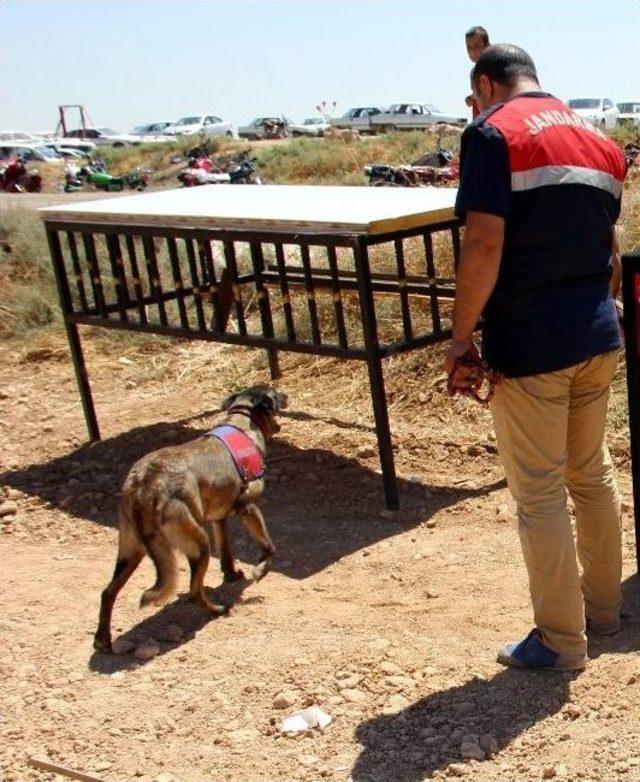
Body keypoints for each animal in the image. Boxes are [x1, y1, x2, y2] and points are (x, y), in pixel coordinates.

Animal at [94, 388, 286, 656]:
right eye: (275, 394)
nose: (286, 395)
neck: (241, 420)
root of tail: (146, 485)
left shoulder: (219, 517)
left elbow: (226, 550)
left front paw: (231, 574)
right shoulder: (248, 507)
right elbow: (269, 546)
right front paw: (259, 570)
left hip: (130, 551)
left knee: (107, 592)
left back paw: (103, 639)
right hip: (198, 543)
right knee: (193, 593)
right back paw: (217, 610)